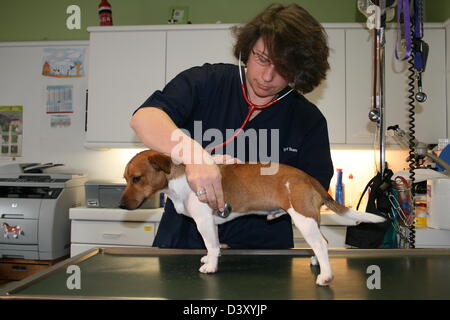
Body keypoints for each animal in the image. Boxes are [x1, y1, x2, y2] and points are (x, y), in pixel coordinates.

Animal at [120, 149, 386, 284]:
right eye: (125, 178)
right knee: (324, 243)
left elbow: (211, 246)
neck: (180, 180)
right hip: (310, 219)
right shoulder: (212, 224)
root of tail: (308, 178)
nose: (121, 205)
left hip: (302, 218)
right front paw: (210, 259)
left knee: (320, 243)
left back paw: (326, 275)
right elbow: (214, 246)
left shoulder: (204, 222)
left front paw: (211, 267)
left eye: (137, 178)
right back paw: (316, 262)